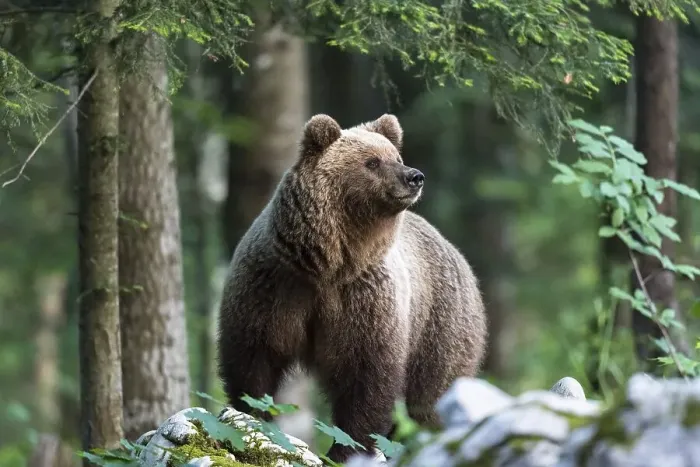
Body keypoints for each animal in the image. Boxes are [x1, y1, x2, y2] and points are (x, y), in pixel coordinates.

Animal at [217, 113, 488, 462]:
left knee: (431, 397)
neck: (328, 262)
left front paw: (347, 448)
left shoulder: (365, 299)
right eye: (372, 162)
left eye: (396, 157)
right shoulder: (274, 285)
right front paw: (253, 418)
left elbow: (368, 376)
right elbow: (254, 357)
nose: (414, 177)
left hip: (440, 326)